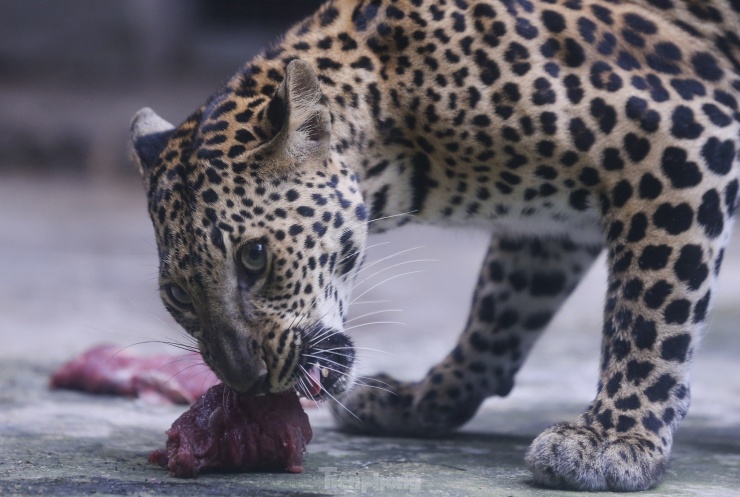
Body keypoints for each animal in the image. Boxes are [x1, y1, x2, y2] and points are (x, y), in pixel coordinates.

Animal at [129, 0, 740, 488]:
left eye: (254, 257)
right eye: (178, 296)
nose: (245, 382)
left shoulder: (681, 148)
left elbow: (649, 313)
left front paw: (614, 439)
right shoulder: (546, 225)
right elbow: (501, 311)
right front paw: (424, 400)